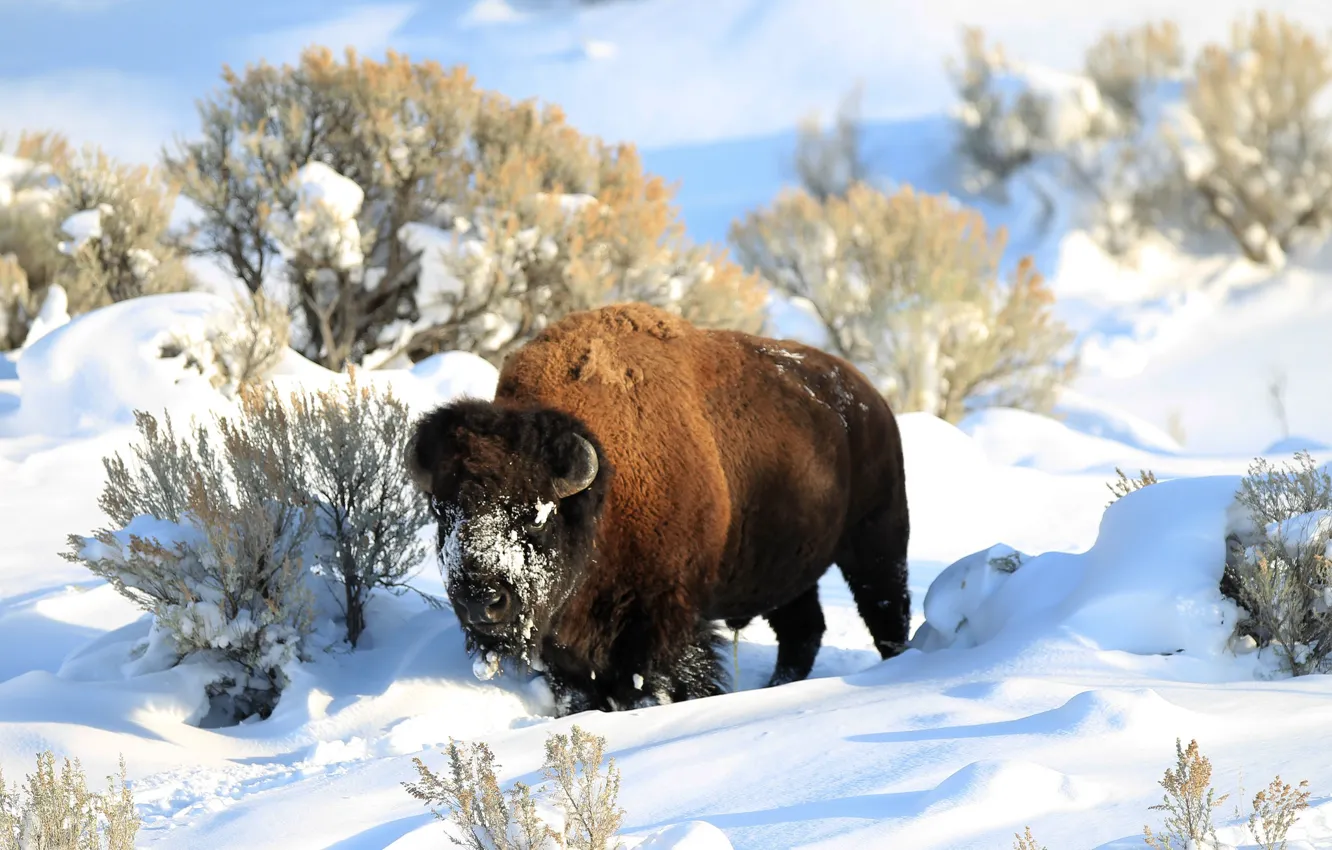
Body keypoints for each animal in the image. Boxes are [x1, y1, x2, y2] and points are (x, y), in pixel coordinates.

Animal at [408, 303, 909, 714]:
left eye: (537, 514)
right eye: (442, 512)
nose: (481, 600)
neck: (604, 494)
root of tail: (868, 399)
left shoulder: (662, 621)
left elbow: (659, 683)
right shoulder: (567, 649)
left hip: (877, 539)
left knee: (886, 611)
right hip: (787, 571)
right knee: (802, 630)